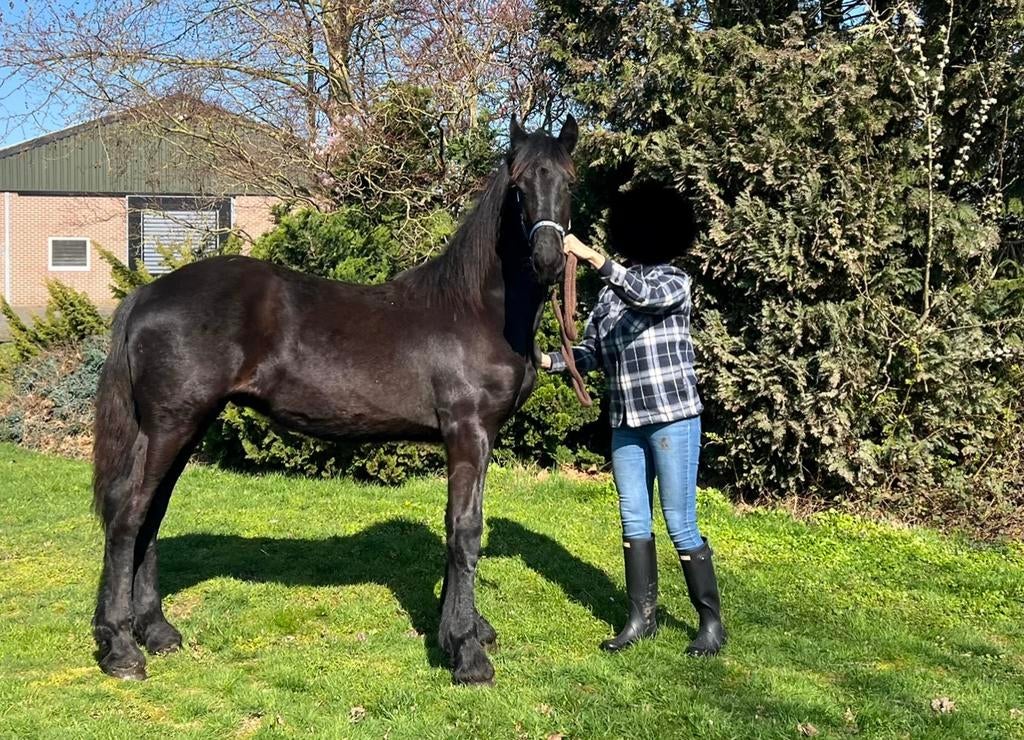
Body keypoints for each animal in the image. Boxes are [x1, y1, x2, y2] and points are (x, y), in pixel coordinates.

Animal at [90, 115, 578, 686]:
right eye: (518, 188)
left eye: (569, 182)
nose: (548, 261)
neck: (474, 310)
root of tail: (147, 294)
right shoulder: (467, 433)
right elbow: (464, 531)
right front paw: (467, 652)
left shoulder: (481, 438)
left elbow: (464, 528)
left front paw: (468, 629)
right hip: (170, 425)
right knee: (129, 514)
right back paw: (121, 648)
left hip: (184, 427)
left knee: (152, 515)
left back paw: (158, 631)